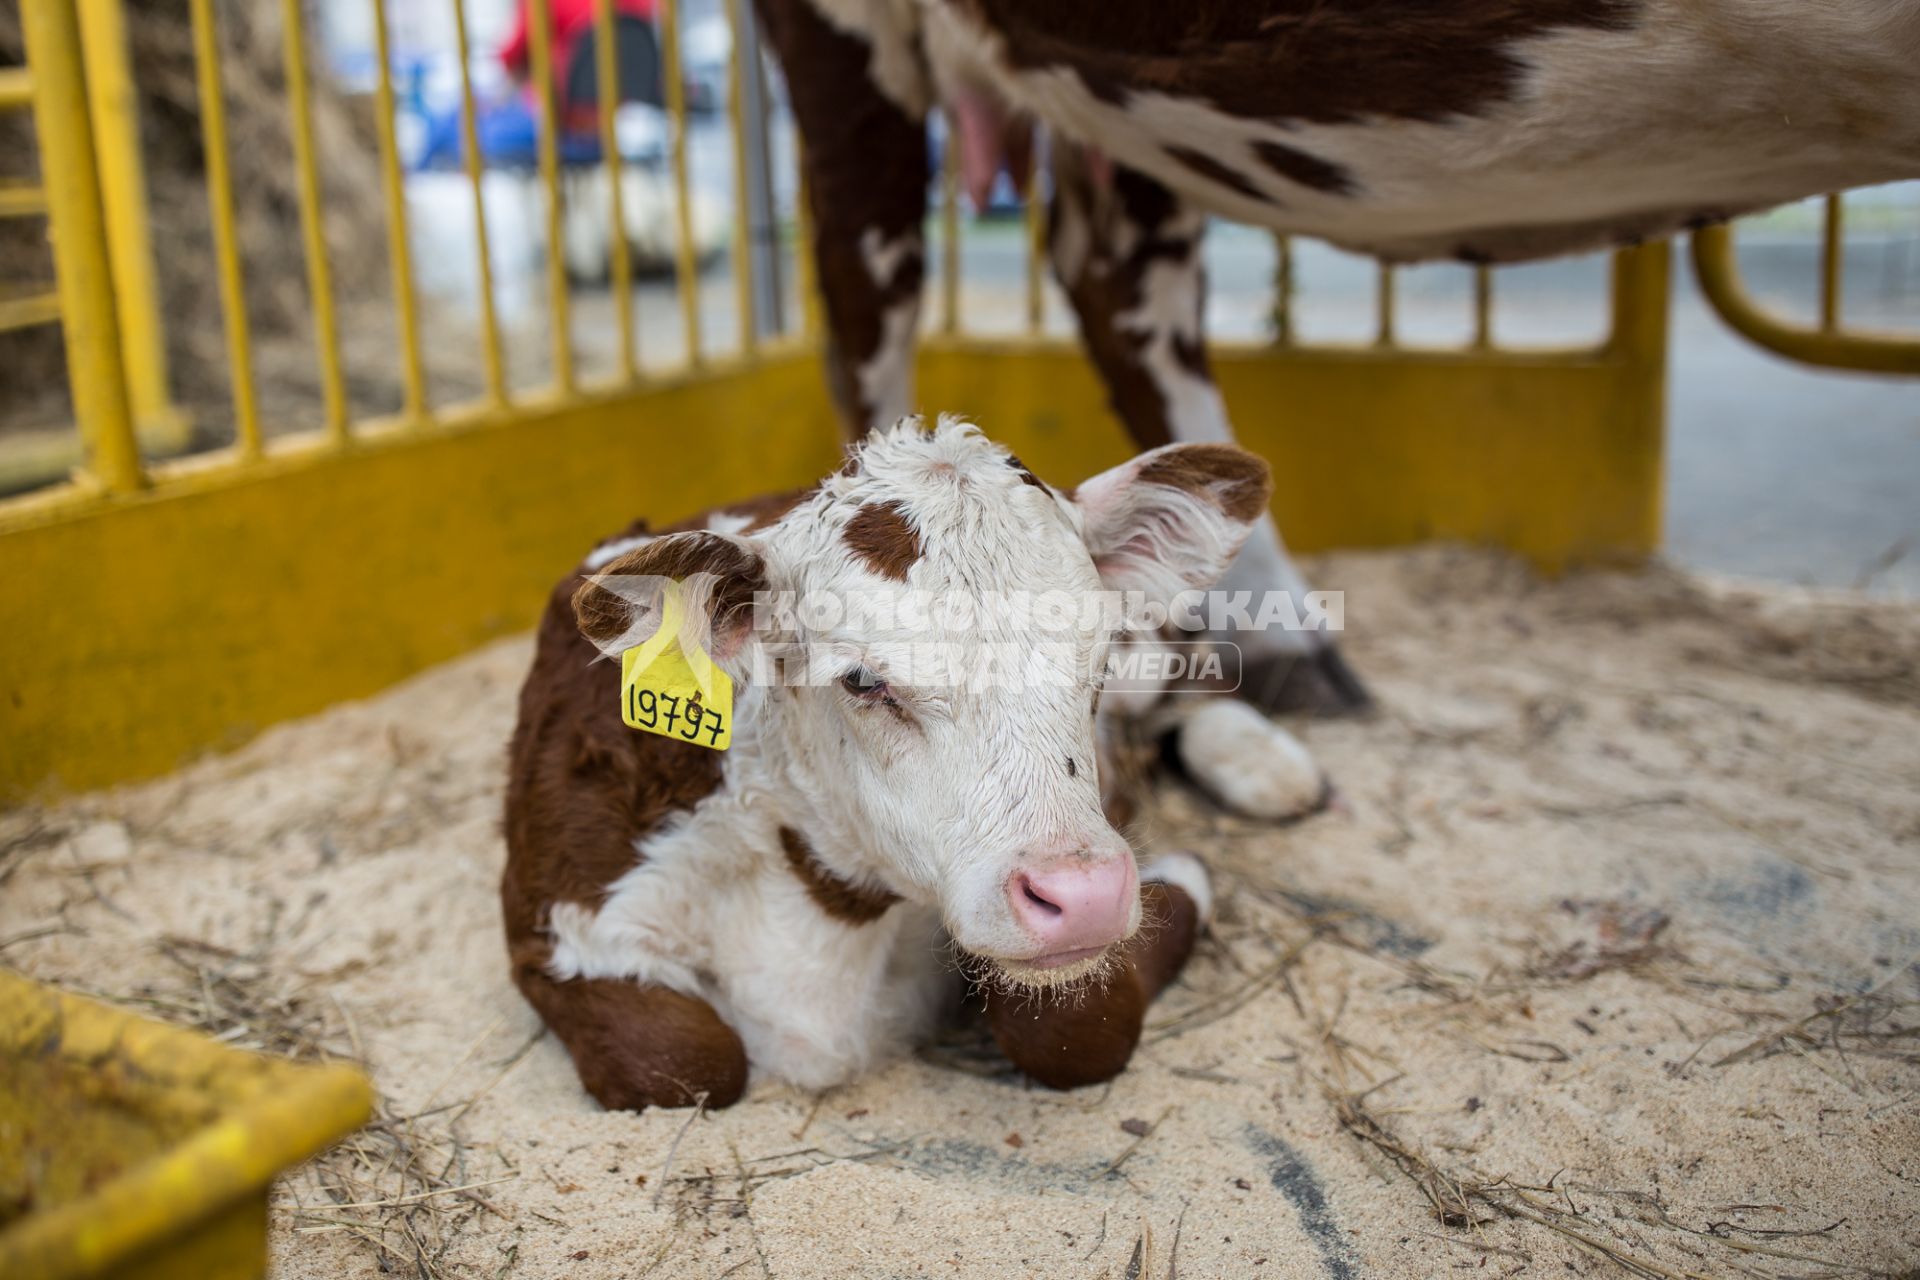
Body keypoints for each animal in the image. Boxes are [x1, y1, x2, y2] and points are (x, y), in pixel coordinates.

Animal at [503, 420, 1328, 1113]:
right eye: (864, 681)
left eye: (1095, 656)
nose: (1088, 895)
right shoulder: (559, 921)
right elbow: (681, 1059)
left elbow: (1074, 1031)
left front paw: (1181, 872)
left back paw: (1270, 767)